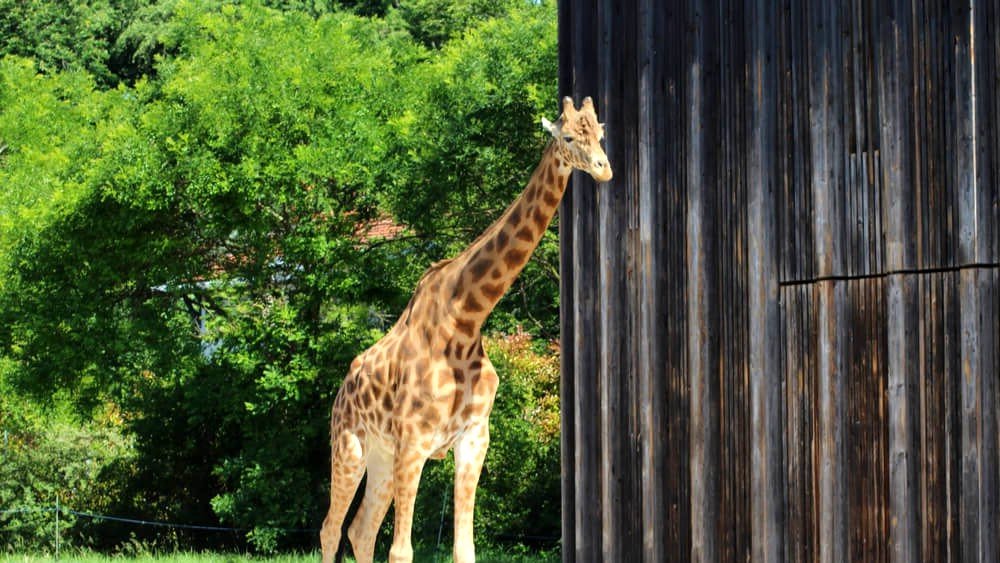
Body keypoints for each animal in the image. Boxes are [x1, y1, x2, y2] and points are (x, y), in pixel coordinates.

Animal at [320, 97, 612, 563]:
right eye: (568, 137)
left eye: (600, 134)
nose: (604, 169)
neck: (466, 320)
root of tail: (343, 388)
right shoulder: (415, 442)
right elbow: (401, 551)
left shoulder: (474, 438)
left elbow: (464, 548)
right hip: (350, 445)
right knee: (331, 529)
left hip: (381, 456)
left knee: (360, 530)